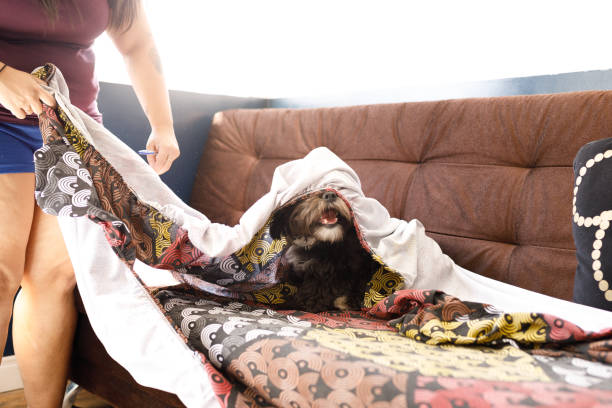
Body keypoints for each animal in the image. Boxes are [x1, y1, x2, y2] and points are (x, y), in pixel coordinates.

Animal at [34, 64, 612, 408]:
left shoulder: (354, 271)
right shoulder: (297, 271)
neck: (324, 252)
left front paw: (335, 305)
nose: (332, 196)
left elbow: (342, 290)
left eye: (333, 191)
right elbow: (305, 287)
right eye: (310, 198)